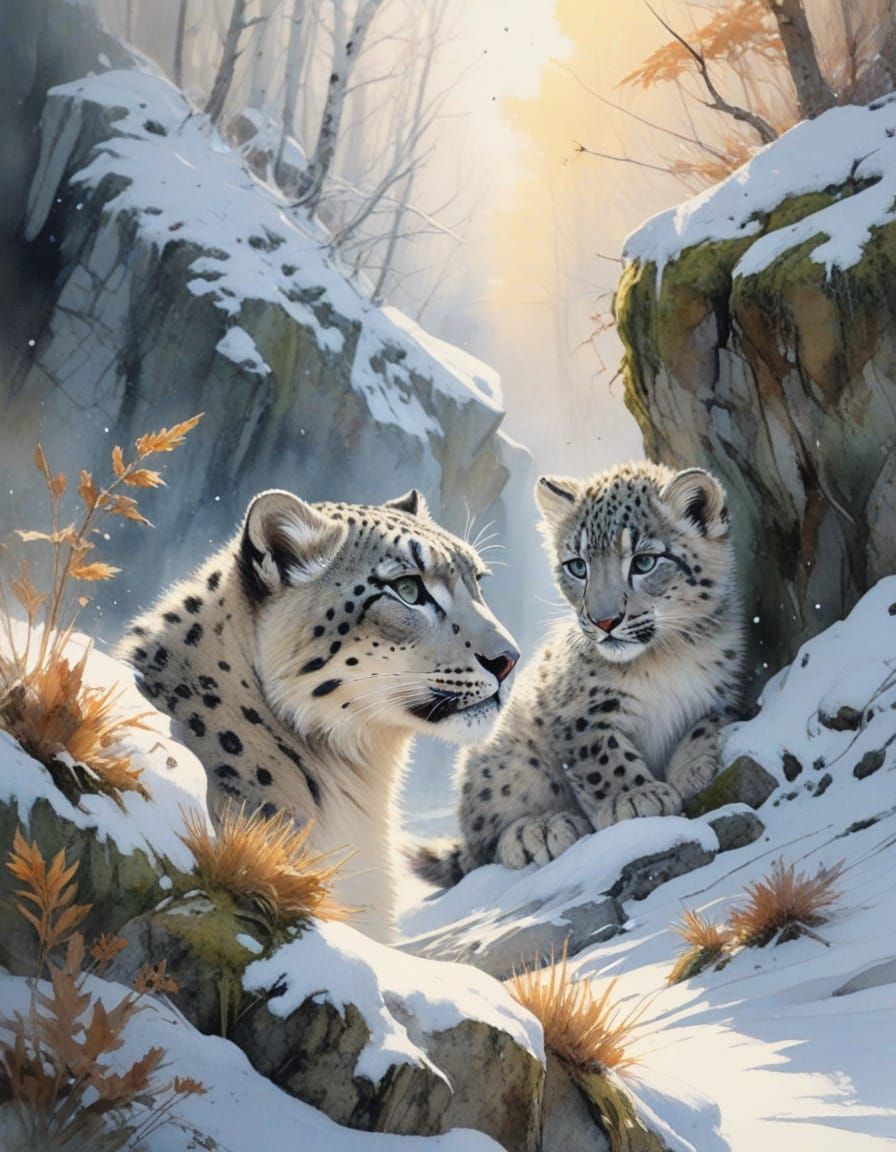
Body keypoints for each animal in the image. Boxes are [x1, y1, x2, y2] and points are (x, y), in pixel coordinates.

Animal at [410, 461, 745, 887]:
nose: (604, 621)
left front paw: (692, 767)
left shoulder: (725, 689)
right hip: (504, 759)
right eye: (577, 566)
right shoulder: (575, 714)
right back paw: (540, 830)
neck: (665, 657)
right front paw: (634, 798)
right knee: (482, 845)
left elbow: (708, 722)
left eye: (644, 562)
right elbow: (602, 756)